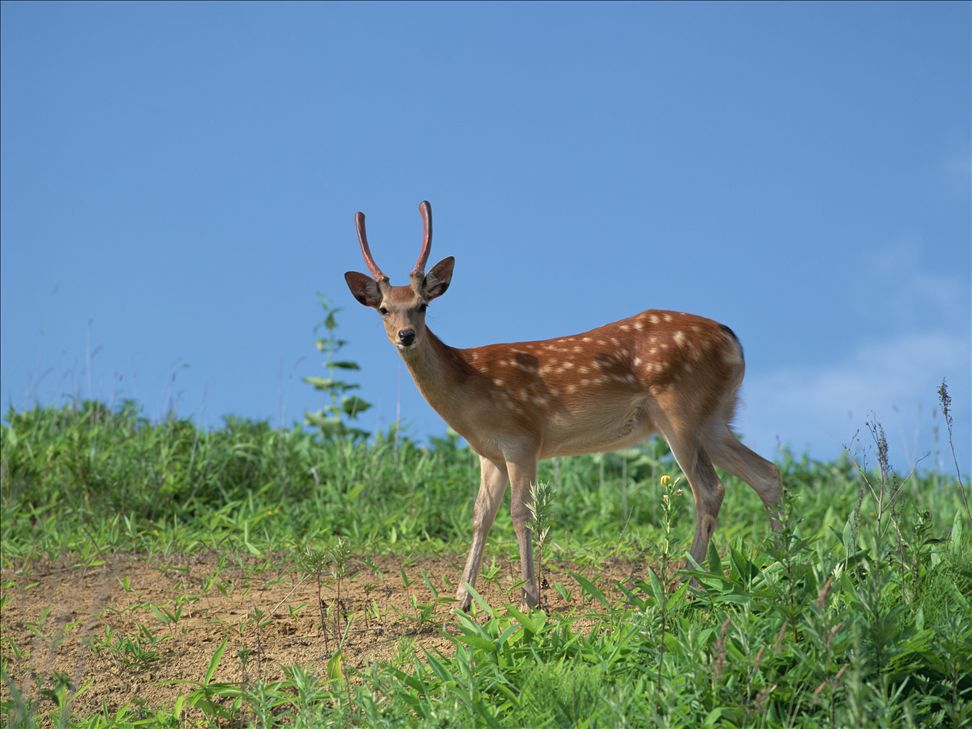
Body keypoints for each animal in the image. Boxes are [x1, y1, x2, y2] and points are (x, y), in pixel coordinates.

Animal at [342, 202, 784, 612]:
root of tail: (733, 340)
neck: (469, 386)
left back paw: (687, 586)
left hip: (680, 410)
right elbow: (480, 517)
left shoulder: (522, 438)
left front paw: (529, 600)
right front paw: (461, 602)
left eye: (423, 305)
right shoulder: (489, 453)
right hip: (715, 417)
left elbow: (521, 514)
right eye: (384, 309)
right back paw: (781, 567)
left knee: (710, 489)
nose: (406, 335)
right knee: (767, 474)